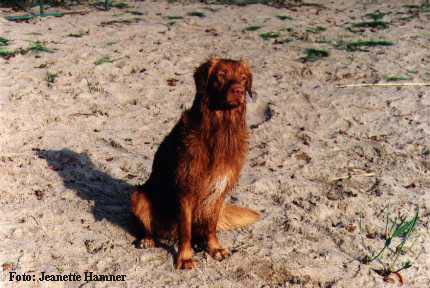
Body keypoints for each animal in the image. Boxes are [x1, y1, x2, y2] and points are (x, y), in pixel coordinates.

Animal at [130, 57, 258, 268]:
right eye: (221, 75)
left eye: (243, 77)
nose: (239, 90)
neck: (220, 129)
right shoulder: (186, 190)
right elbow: (186, 230)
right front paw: (185, 258)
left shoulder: (219, 191)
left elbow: (211, 226)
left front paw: (214, 248)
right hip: (138, 195)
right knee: (149, 227)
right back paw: (147, 239)